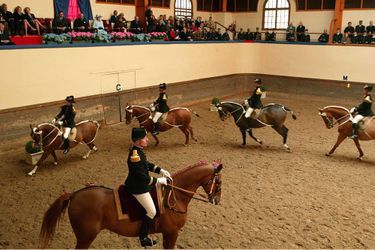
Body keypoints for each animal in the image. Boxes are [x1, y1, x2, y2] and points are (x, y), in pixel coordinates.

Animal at [40, 161, 223, 249]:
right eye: (219, 182)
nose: (217, 200)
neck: (175, 196)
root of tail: (74, 195)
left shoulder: (168, 234)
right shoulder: (172, 233)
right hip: (86, 237)